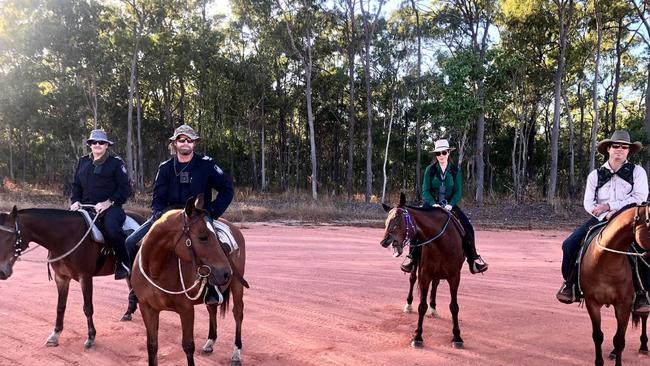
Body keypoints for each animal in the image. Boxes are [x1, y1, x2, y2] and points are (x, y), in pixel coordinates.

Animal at [0, 204, 146, 348]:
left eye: (12, 238)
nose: (2, 272)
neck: (65, 238)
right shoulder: (61, 278)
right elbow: (60, 306)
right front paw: (55, 335)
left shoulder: (85, 278)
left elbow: (88, 307)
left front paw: (91, 336)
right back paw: (128, 312)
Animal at [130, 196, 247, 364]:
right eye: (203, 237)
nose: (226, 273)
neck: (156, 271)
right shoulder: (147, 308)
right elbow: (152, 346)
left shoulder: (186, 310)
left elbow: (188, 346)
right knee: (212, 308)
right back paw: (210, 342)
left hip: (237, 285)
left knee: (238, 313)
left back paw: (236, 351)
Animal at [380, 193, 466, 348]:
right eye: (386, 221)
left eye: (398, 220)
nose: (384, 241)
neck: (442, 241)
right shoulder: (424, 275)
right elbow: (421, 306)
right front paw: (418, 336)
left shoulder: (455, 276)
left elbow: (454, 306)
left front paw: (457, 337)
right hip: (416, 267)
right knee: (412, 279)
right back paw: (409, 305)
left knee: (435, 284)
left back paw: (433, 308)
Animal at [576, 204, 648, 364]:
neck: (606, 262)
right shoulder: (592, 303)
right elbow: (598, 336)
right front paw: (599, 362)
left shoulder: (624, 304)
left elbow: (619, 339)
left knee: (644, 315)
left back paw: (644, 347)